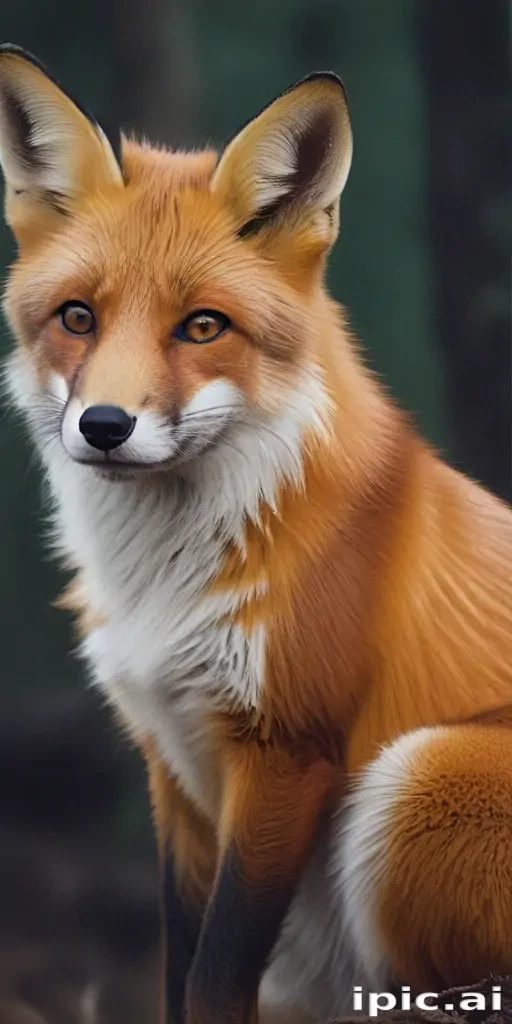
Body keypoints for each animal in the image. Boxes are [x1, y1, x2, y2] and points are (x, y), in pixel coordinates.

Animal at [0, 42, 511, 1024]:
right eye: (78, 316)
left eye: (203, 326)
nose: (105, 426)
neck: (167, 586)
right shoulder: (171, 761)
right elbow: (177, 968)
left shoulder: (284, 750)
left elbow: (216, 975)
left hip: (416, 777)